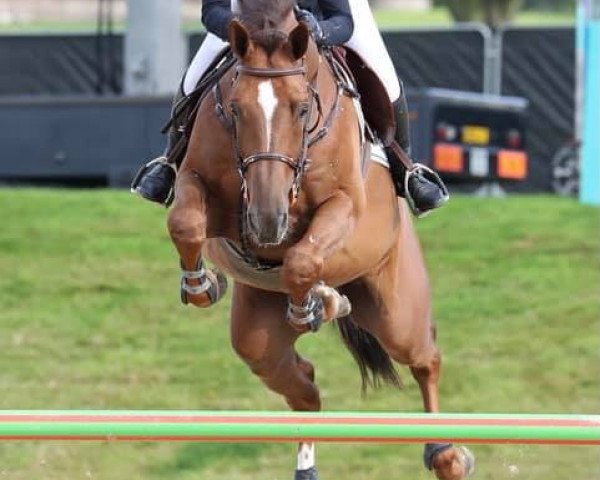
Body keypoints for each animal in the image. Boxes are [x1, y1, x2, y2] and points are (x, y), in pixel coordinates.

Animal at [164, 0, 474, 476]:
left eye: (302, 109)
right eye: (235, 109)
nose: (268, 220)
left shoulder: (343, 203)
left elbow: (302, 259)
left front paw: (306, 304)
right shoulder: (198, 180)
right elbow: (185, 223)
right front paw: (203, 285)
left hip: (396, 311)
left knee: (425, 358)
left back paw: (447, 455)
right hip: (258, 336)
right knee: (303, 383)